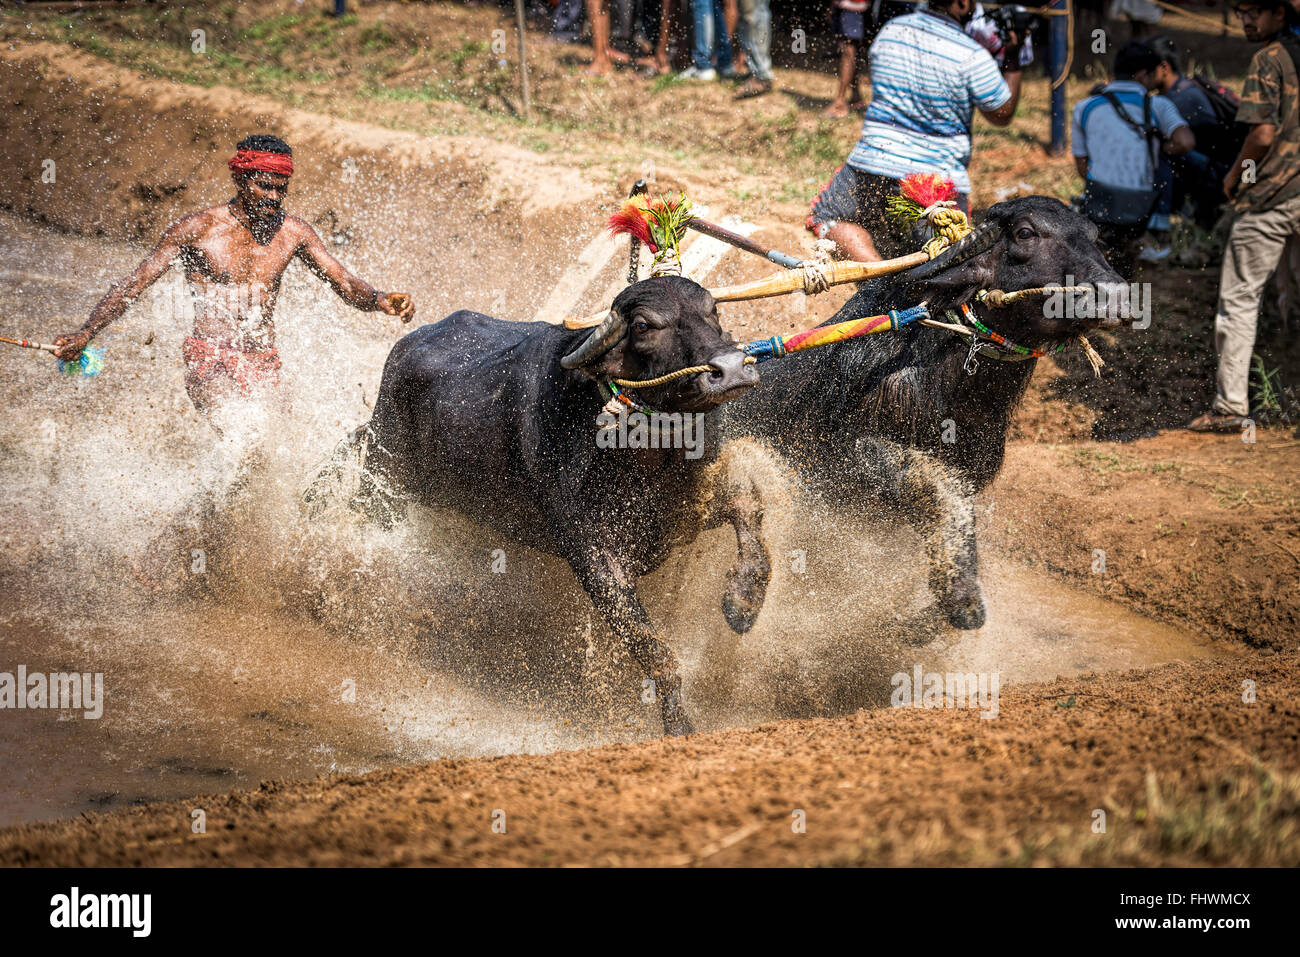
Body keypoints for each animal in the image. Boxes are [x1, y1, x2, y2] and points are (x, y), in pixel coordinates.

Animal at [318, 273, 764, 738]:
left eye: (713, 310)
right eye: (644, 326)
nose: (732, 368)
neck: (644, 456)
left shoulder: (690, 507)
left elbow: (748, 504)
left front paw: (743, 601)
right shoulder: (594, 557)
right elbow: (653, 648)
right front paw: (678, 723)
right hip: (383, 484)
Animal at [722, 196, 1128, 629]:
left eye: (1095, 236)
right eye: (1025, 233)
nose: (1116, 296)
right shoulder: (845, 456)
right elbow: (936, 484)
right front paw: (961, 592)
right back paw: (742, 598)